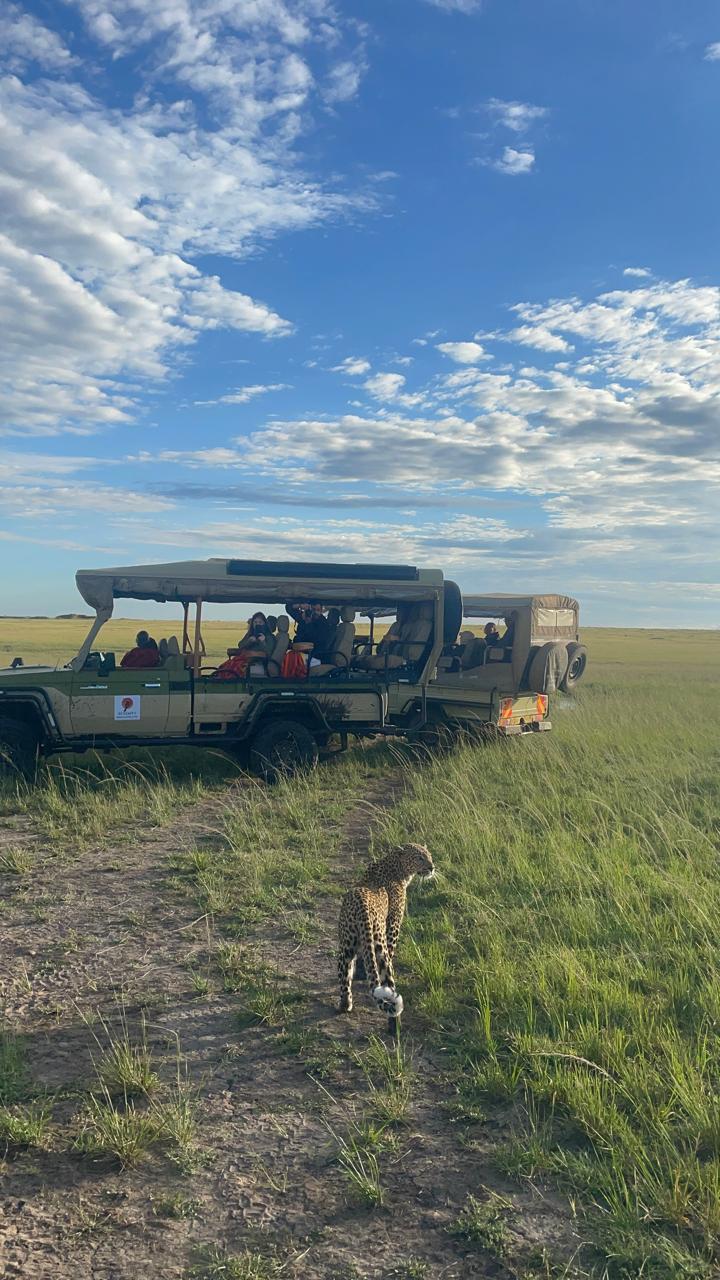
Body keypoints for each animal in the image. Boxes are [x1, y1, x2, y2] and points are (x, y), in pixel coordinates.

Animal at [337, 843, 434, 1017]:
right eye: (419, 858)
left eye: (429, 855)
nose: (432, 867)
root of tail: (363, 908)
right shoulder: (393, 925)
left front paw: (360, 972)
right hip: (380, 944)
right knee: (388, 978)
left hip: (347, 945)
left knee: (345, 978)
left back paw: (345, 1005)